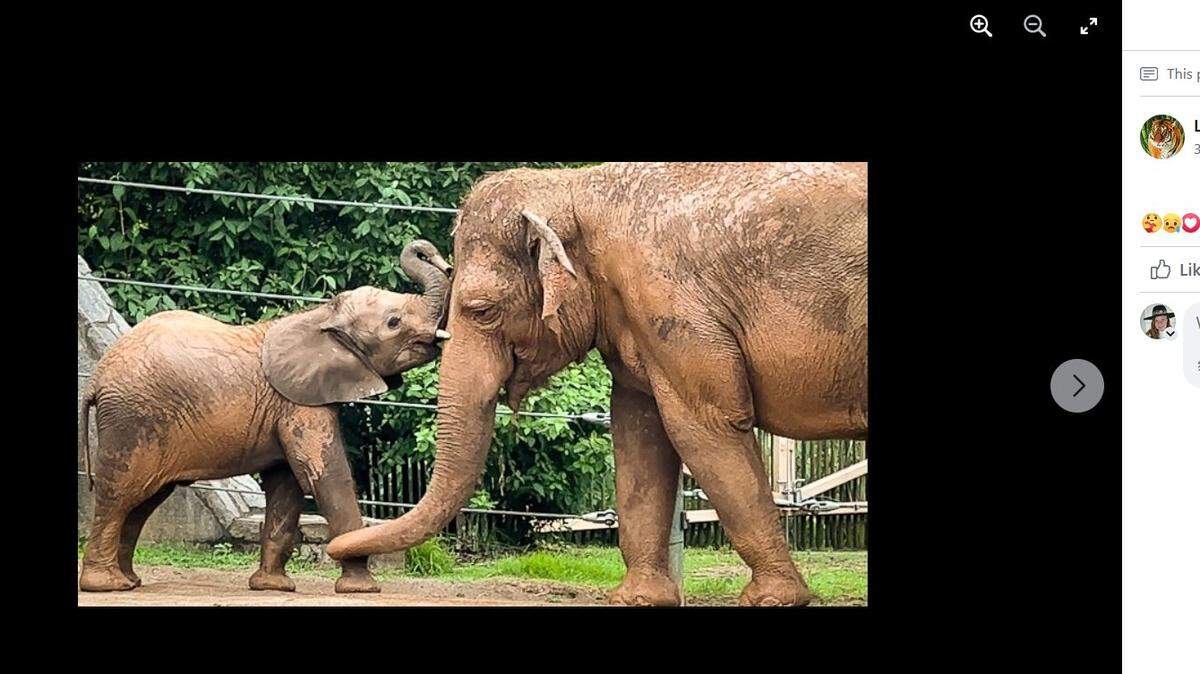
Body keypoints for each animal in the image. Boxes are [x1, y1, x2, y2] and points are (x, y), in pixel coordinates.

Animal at [78, 240, 453, 593]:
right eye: (394, 322)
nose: (442, 261)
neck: (320, 315)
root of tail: (95, 379)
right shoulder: (298, 402)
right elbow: (326, 475)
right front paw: (361, 588)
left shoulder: (288, 404)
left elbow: (286, 485)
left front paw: (274, 586)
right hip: (132, 420)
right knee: (120, 495)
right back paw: (107, 585)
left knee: (143, 501)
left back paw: (130, 581)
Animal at [325, 163, 867, 606]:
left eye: (482, 310)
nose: (343, 563)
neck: (573, 186)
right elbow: (638, 431)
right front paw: (638, 598)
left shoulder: (672, 304)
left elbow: (704, 425)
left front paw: (774, 599)